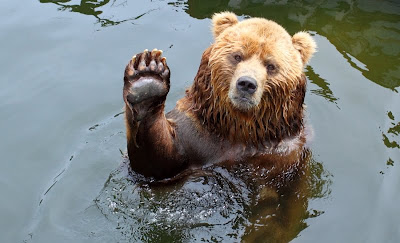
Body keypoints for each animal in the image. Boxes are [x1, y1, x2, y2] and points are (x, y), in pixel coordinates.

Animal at [122, 11, 316, 178]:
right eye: (237, 56)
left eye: (271, 65)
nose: (247, 84)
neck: (240, 128)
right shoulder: (197, 133)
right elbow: (157, 164)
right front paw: (147, 77)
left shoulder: (287, 149)